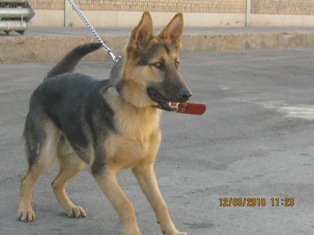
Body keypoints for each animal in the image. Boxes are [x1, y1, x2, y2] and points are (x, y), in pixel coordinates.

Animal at [19, 11, 191, 235]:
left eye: (176, 64)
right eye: (158, 65)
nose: (187, 95)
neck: (134, 109)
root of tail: (48, 80)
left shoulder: (144, 169)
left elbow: (160, 203)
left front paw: (172, 231)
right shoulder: (102, 171)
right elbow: (126, 205)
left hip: (77, 160)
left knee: (56, 183)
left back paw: (70, 207)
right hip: (45, 153)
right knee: (26, 180)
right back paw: (25, 209)